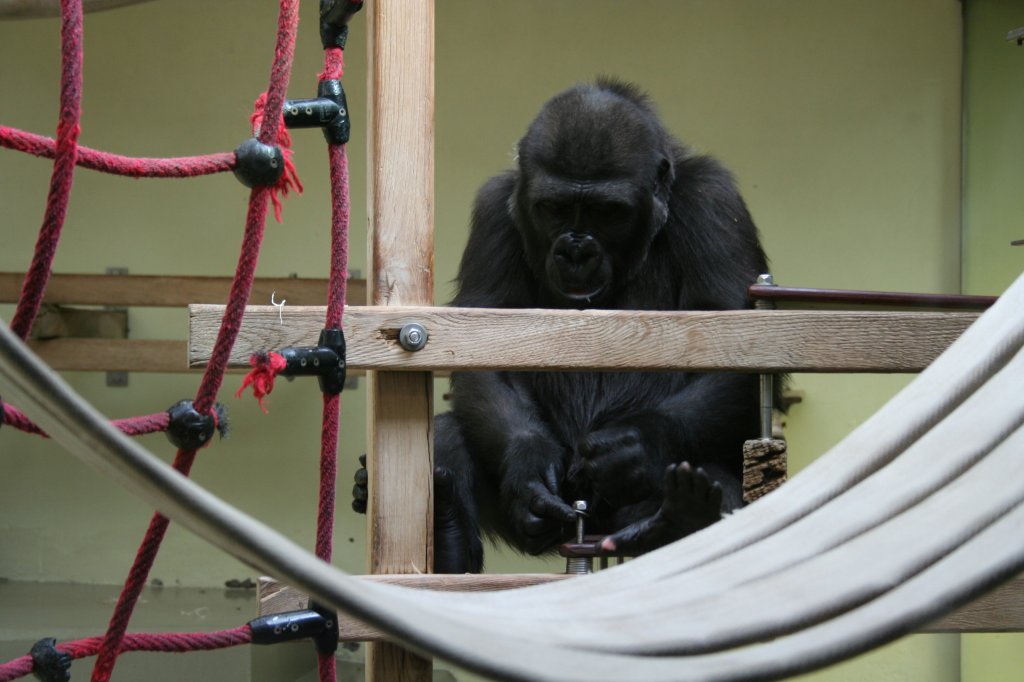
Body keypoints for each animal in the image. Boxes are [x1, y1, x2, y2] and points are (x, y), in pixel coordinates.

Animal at [356, 76, 765, 569]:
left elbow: (741, 348)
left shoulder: (714, 201)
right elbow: (483, 348)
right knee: (450, 436)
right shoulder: (494, 210)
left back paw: (684, 515)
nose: (576, 250)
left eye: (608, 211)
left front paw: (640, 442)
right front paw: (528, 463)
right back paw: (448, 525)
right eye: (553, 207)